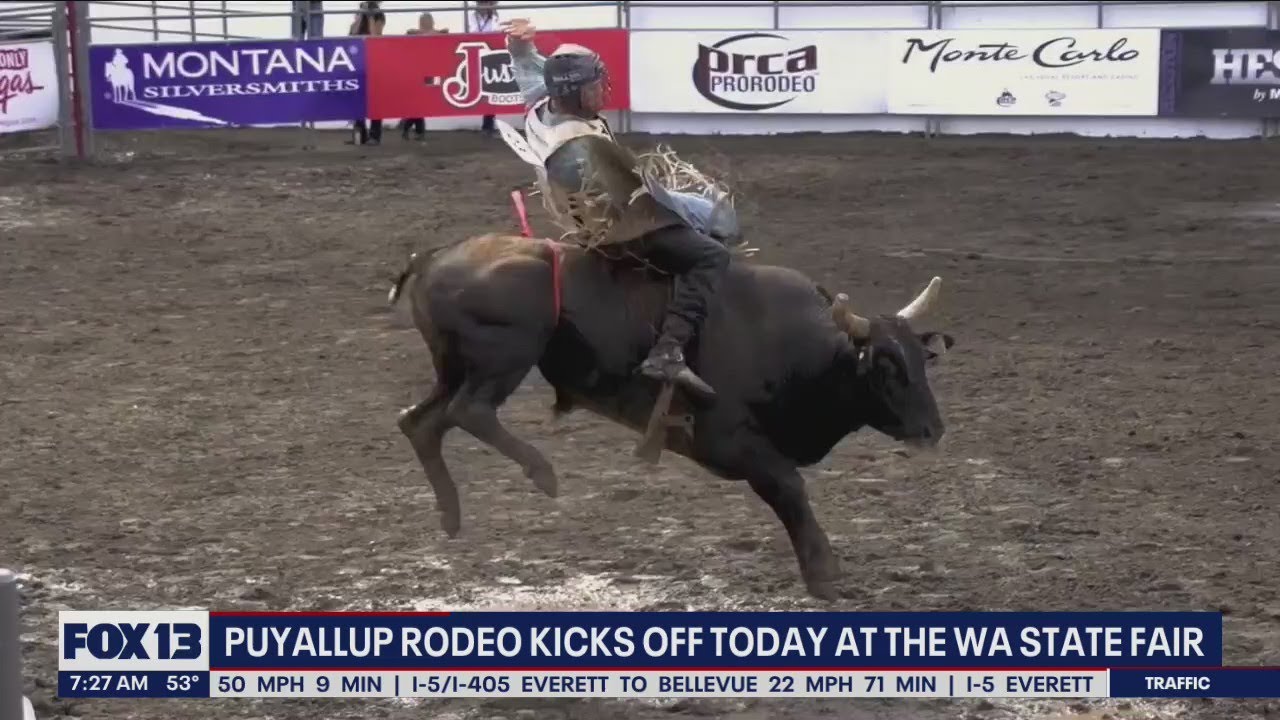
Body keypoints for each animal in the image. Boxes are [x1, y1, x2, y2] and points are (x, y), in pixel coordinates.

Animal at [384, 233, 957, 597]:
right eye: (884, 367)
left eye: (922, 360)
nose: (933, 431)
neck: (794, 348)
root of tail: (434, 256)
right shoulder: (728, 439)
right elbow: (789, 488)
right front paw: (824, 575)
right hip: (506, 353)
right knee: (469, 410)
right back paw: (541, 473)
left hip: (454, 367)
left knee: (421, 421)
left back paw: (451, 515)